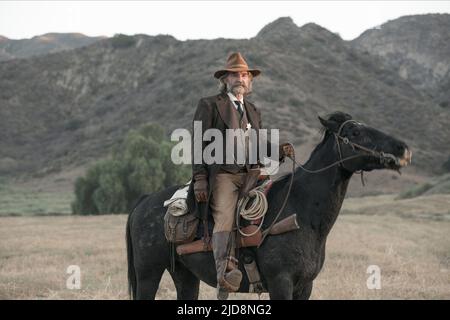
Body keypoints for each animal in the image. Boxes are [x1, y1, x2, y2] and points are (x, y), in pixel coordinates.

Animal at [125, 112, 412, 300]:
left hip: (185, 275)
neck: (302, 212)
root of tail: (144, 201)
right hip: (148, 273)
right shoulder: (281, 282)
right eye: (354, 132)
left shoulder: (304, 287)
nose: (403, 148)